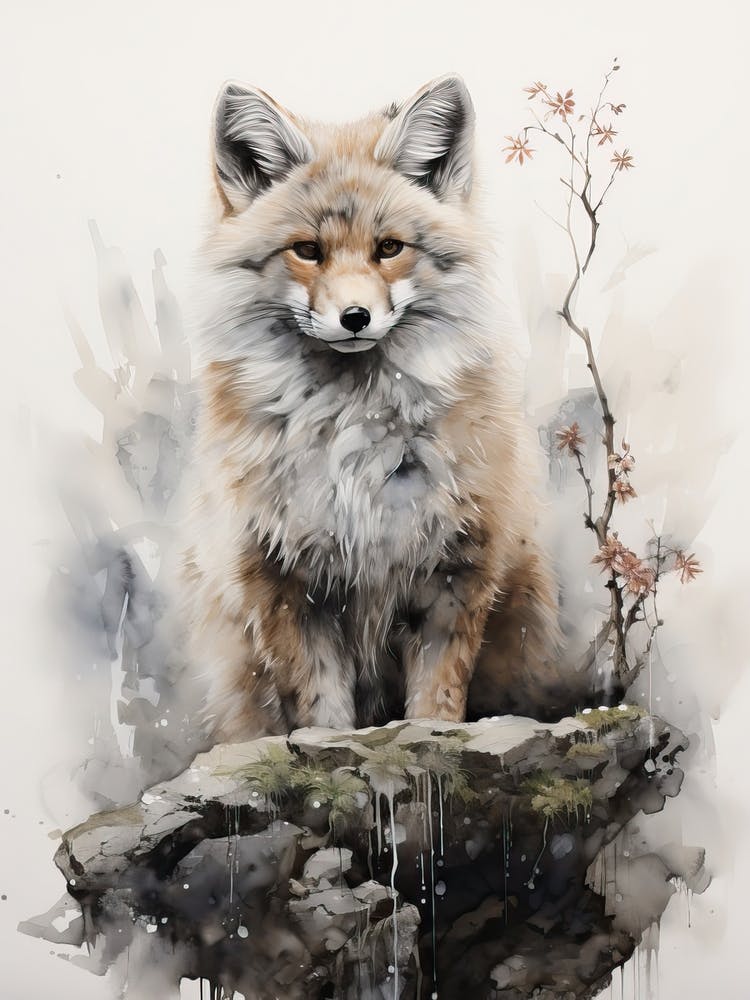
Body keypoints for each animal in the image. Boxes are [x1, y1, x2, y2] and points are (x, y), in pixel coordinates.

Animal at [182, 74, 563, 743]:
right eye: (307, 250)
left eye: (389, 248)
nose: (355, 317)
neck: (354, 438)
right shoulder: (284, 581)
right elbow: (319, 712)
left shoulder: (457, 569)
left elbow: (437, 704)